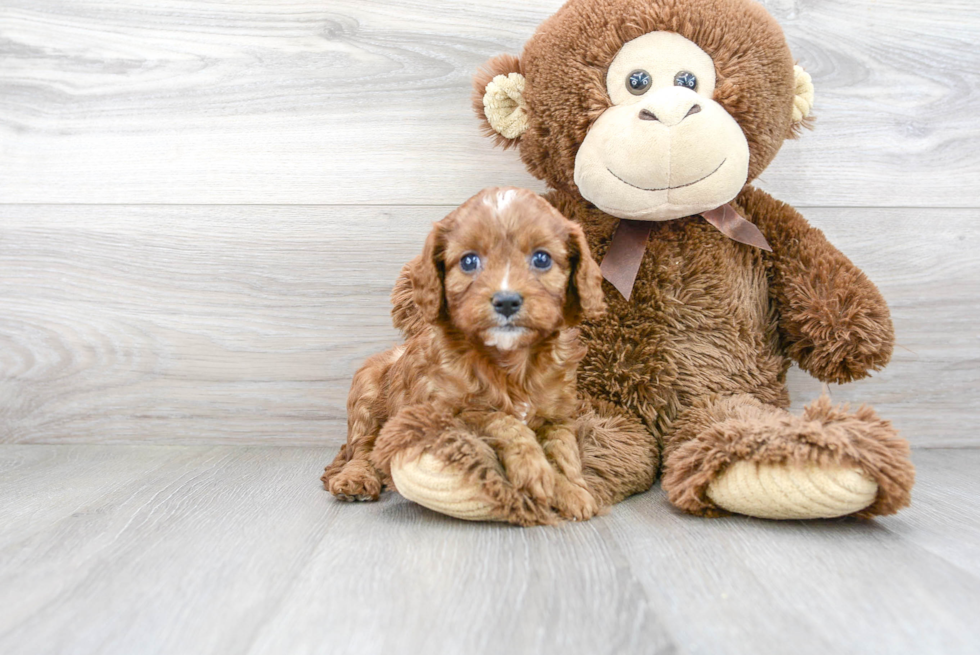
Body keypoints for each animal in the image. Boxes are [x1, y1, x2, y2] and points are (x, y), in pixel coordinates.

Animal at [324, 187, 604, 524]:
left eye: (541, 258)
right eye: (469, 261)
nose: (507, 301)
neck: (510, 359)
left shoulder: (558, 414)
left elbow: (564, 450)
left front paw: (573, 490)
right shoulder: (446, 411)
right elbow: (501, 419)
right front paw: (534, 470)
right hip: (365, 390)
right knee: (362, 449)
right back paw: (355, 479)